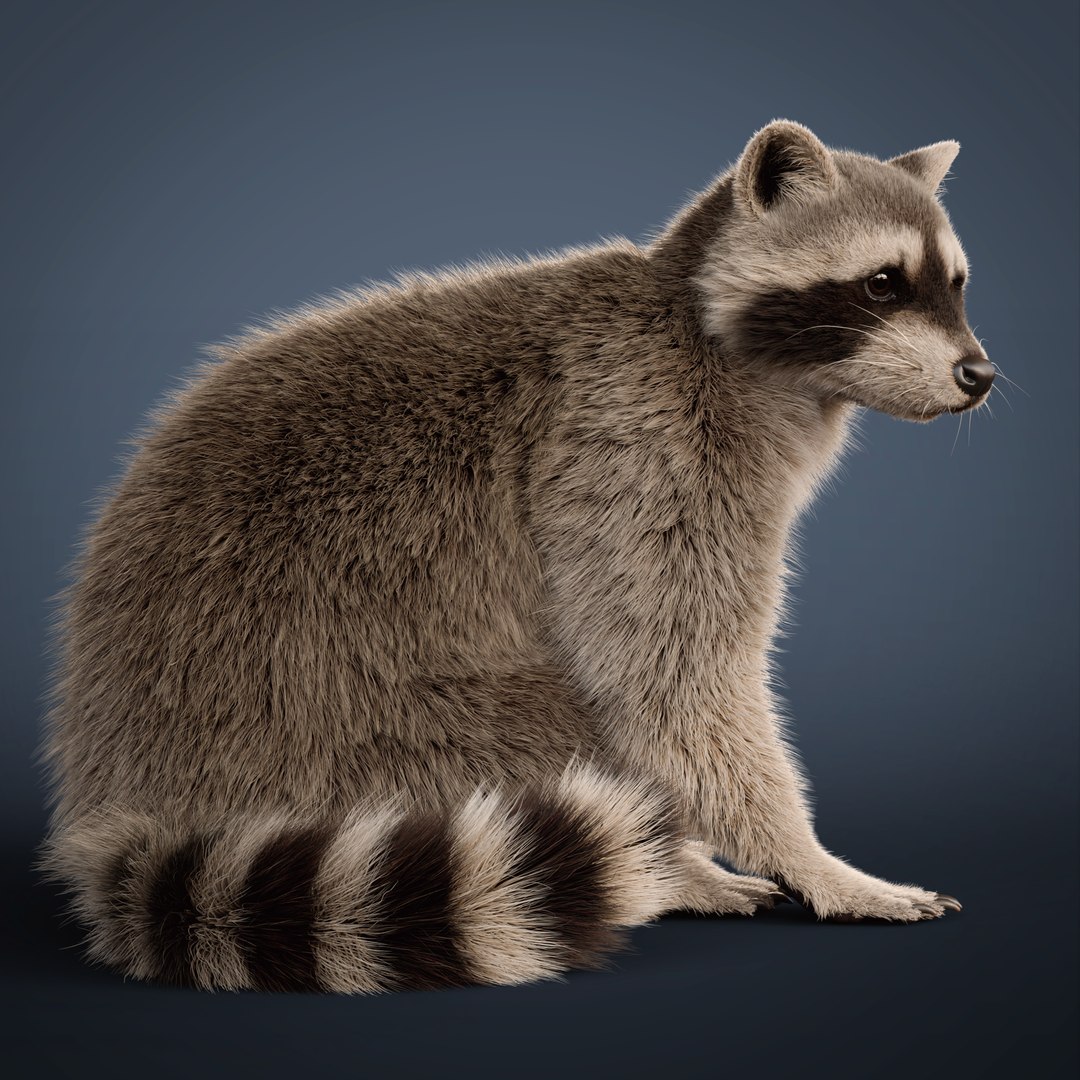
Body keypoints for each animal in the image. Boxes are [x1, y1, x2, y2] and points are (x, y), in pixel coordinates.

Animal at [42, 121, 988, 993]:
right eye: (882, 282)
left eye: (957, 285)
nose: (978, 375)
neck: (718, 339)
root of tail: (113, 796)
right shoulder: (636, 437)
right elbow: (670, 680)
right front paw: (810, 860)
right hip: (337, 714)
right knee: (551, 718)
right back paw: (663, 869)